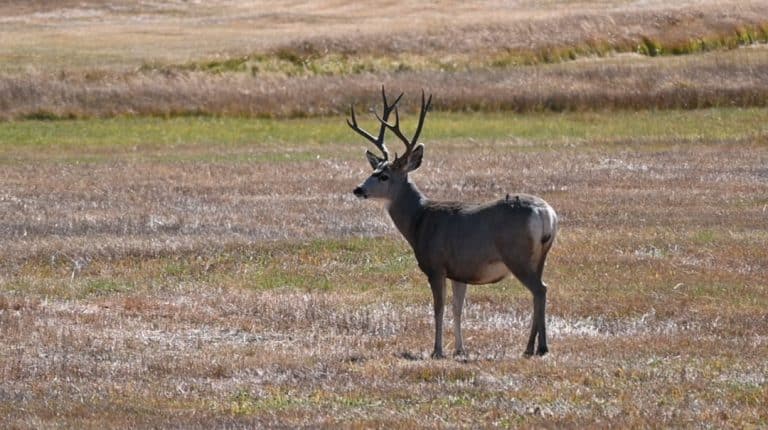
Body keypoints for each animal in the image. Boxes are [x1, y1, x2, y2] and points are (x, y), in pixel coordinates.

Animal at [349, 87, 558, 359]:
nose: (358, 189)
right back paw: (530, 347)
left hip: (517, 255)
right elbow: (458, 308)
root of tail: (545, 213)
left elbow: (438, 308)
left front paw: (436, 350)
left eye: (383, 176)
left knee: (540, 289)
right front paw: (460, 349)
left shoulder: (436, 265)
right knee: (539, 290)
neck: (419, 221)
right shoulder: (460, 270)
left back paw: (540, 347)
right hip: (540, 256)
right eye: (373, 171)